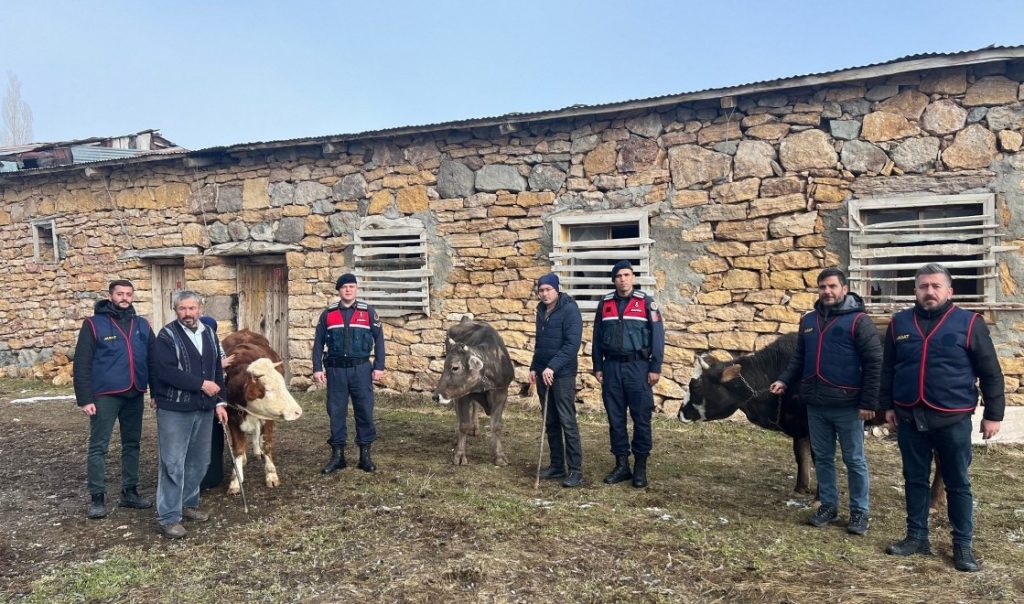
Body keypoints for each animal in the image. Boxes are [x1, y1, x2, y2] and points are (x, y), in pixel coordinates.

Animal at [222, 331, 301, 497]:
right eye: (269, 389)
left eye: (283, 384)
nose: (298, 411)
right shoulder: (232, 418)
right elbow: (238, 448)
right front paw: (235, 480)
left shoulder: (268, 418)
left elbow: (266, 444)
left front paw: (271, 475)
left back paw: (257, 451)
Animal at [430, 317, 512, 468]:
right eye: (444, 366)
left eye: (455, 367)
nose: (435, 396)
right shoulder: (463, 395)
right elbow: (463, 425)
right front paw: (460, 454)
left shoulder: (501, 392)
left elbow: (496, 426)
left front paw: (499, 456)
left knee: (475, 406)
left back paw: (475, 428)